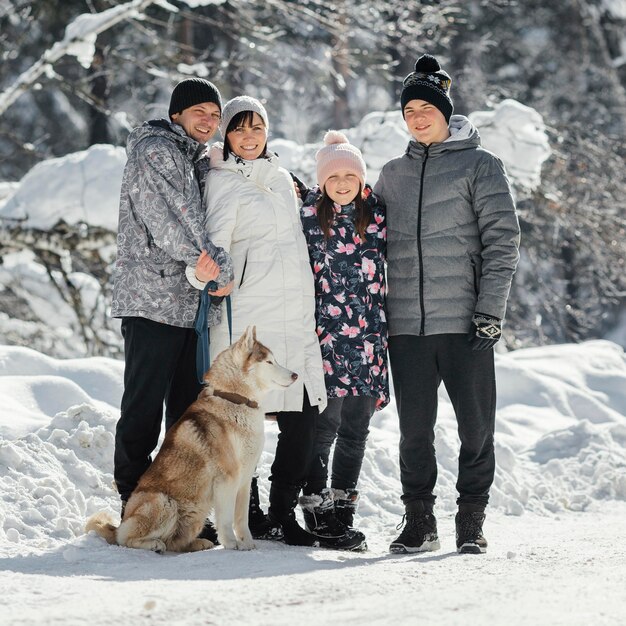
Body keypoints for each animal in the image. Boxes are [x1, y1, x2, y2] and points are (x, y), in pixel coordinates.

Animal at [86, 326, 298, 552]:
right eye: (269, 362)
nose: (295, 375)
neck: (236, 400)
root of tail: (121, 522)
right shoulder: (227, 479)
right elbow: (226, 519)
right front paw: (231, 544)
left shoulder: (245, 479)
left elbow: (241, 519)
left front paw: (247, 544)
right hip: (163, 503)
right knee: (127, 539)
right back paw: (154, 545)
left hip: (195, 515)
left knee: (175, 543)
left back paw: (198, 543)